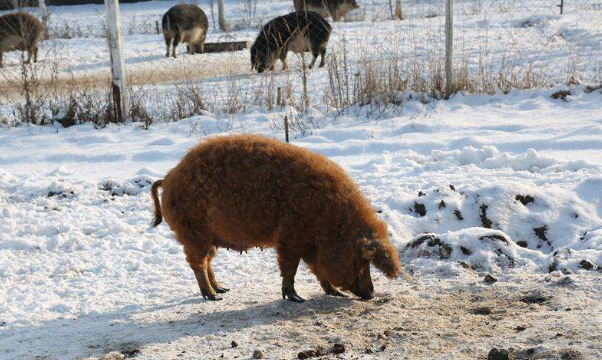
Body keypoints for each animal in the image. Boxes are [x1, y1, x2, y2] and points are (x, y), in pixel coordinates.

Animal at [152, 134, 400, 300]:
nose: (372, 293)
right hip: (193, 232)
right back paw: (213, 296)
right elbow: (290, 269)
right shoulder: (290, 238)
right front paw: (297, 299)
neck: (329, 220)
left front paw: (336, 293)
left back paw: (222, 289)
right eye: (360, 260)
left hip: (206, 237)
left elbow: (318, 271)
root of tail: (169, 177)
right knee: (198, 264)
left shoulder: (308, 245)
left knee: (208, 262)